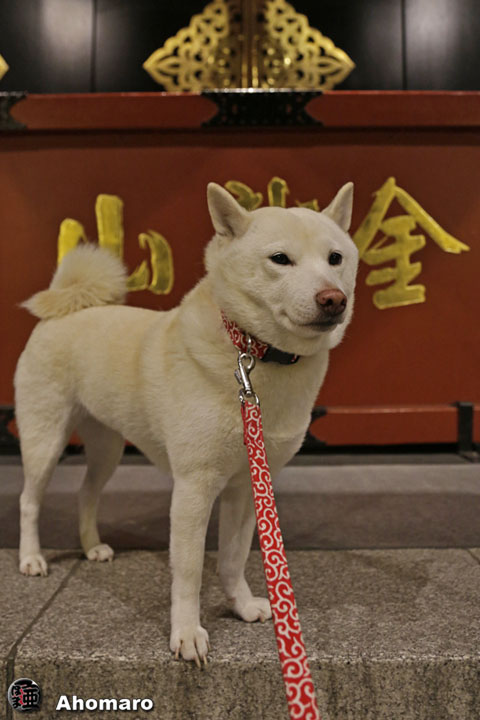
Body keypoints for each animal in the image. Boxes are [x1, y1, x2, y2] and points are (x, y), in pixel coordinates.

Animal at [15, 182, 358, 666]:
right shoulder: (195, 486)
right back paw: (31, 559)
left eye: (335, 258)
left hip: (107, 449)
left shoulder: (246, 486)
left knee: (86, 494)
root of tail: (67, 308)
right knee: (29, 501)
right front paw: (187, 633)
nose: (333, 299)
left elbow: (232, 558)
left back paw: (91, 546)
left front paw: (240, 606)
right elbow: (191, 570)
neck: (253, 354)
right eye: (280, 259)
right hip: (44, 441)